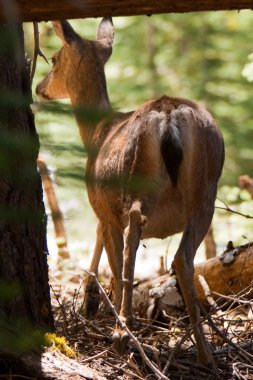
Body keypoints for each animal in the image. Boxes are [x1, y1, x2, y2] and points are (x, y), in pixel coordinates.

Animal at [35, 17, 223, 368]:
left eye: (53, 59)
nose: (40, 87)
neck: (96, 132)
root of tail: (169, 115)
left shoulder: (102, 206)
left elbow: (110, 254)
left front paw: (95, 303)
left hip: (136, 181)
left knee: (133, 233)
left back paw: (123, 333)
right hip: (206, 192)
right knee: (183, 257)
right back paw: (206, 353)